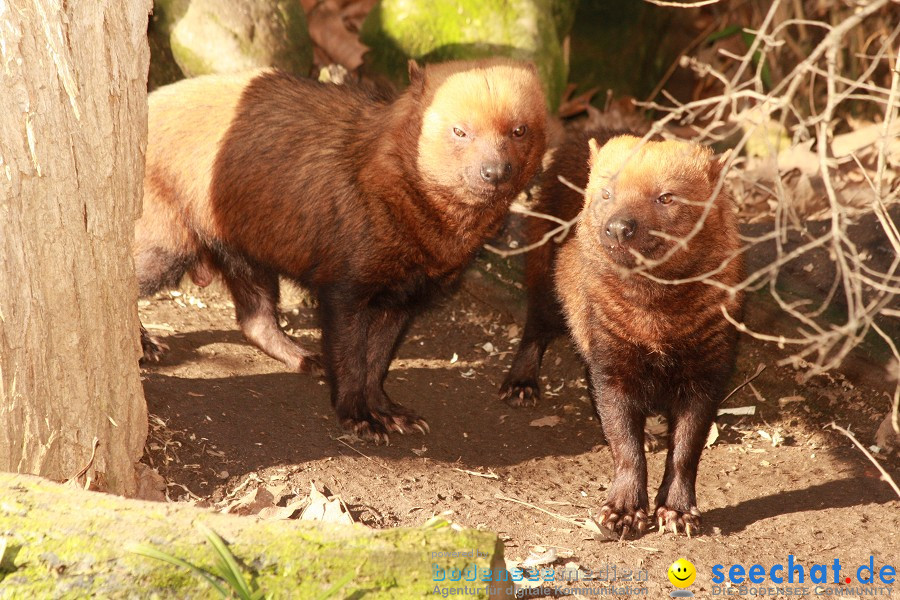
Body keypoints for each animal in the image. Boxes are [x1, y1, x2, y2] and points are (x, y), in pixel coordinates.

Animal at [139, 59, 548, 440]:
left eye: (519, 129)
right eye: (460, 130)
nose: (494, 172)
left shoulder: (401, 299)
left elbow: (377, 363)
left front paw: (391, 413)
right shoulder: (344, 291)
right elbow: (352, 359)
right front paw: (360, 418)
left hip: (246, 254)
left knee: (255, 320)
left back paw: (305, 358)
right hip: (167, 249)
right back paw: (146, 345)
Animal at [500, 129, 744, 536]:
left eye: (666, 196)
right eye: (606, 192)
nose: (618, 227)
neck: (656, 326)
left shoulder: (709, 368)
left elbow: (687, 448)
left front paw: (678, 513)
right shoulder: (611, 357)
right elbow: (624, 442)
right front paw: (622, 513)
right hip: (546, 279)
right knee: (536, 325)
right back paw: (520, 386)